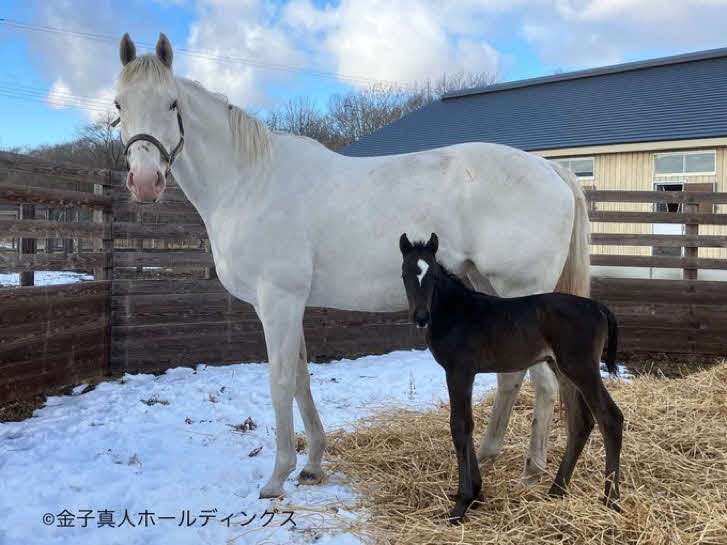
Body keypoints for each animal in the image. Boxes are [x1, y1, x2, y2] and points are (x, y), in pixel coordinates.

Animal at [113, 32, 591, 499]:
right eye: (119, 105)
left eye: (171, 103)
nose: (145, 182)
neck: (250, 182)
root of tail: (553, 171)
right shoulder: (288, 306)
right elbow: (301, 377)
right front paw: (312, 465)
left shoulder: (279, 301)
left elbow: (280, 381)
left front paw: (277, 478)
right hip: (490, 290)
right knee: (513, 377)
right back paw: (492, 454)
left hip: (519, 292)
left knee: (544, 385)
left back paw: (532, 471)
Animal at [399, 233, 623, 522]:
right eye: (405, 274)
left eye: (434, 276)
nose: (421, 317)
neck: (457, 312)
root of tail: (598, 307)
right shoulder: (464, 373)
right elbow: (468, 424)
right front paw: (475, 493)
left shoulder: (459, 371)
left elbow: (460, 426)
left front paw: (461, 504)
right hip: (563, 369)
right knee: (581, 422)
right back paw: (557, 490)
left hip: (581, 368)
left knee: (610, 418)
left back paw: (611, 500)